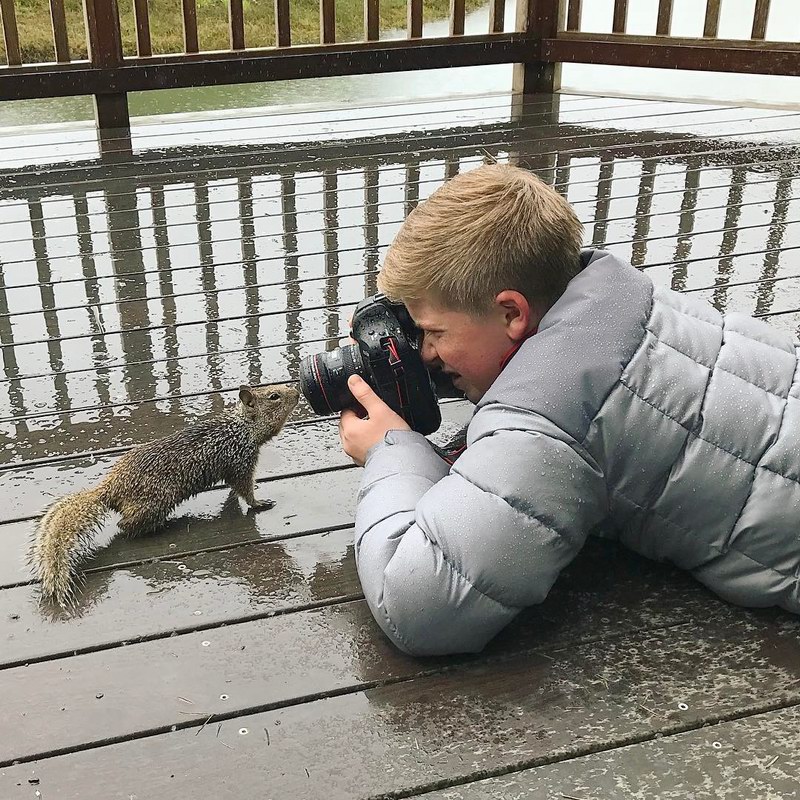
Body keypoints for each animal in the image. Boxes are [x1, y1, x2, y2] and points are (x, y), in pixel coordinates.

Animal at [29, 384, 300, 608]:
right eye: (274, 396)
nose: (297, 392)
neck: (242, 428)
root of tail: (111, 488)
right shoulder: (241, 460)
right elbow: (246, 489)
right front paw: (260, 503)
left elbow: (234, 489)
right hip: (155, 501)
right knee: (125, 525)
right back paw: (161, 525)